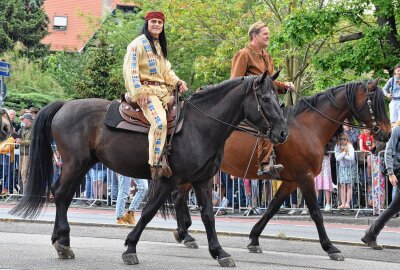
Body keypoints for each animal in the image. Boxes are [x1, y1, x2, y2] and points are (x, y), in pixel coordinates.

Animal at [10, 72, 290, 268]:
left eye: (279, 99)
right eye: (266, 99)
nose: (283, 133)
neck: (200, 126)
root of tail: (65, 106)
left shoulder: (203, 180)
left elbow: (208, 216)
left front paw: (219, 252)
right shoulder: (169, 180)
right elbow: (148, 212)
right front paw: (130, 248)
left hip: (83, 165)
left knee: (64, 196)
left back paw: (62, 241)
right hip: (74, 164)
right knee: (60, 194)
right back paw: (63, 243)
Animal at [172, 78, 390, 262]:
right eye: (376, 104)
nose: (387, 135)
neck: (308, 127)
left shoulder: (291, 182)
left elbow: (272, 208)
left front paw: (254, 239)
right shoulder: (305, 177)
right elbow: (316, 213)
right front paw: (330, 247)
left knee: (179, 198)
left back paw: (184, 232)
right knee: (178, 197)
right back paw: (185, 233)